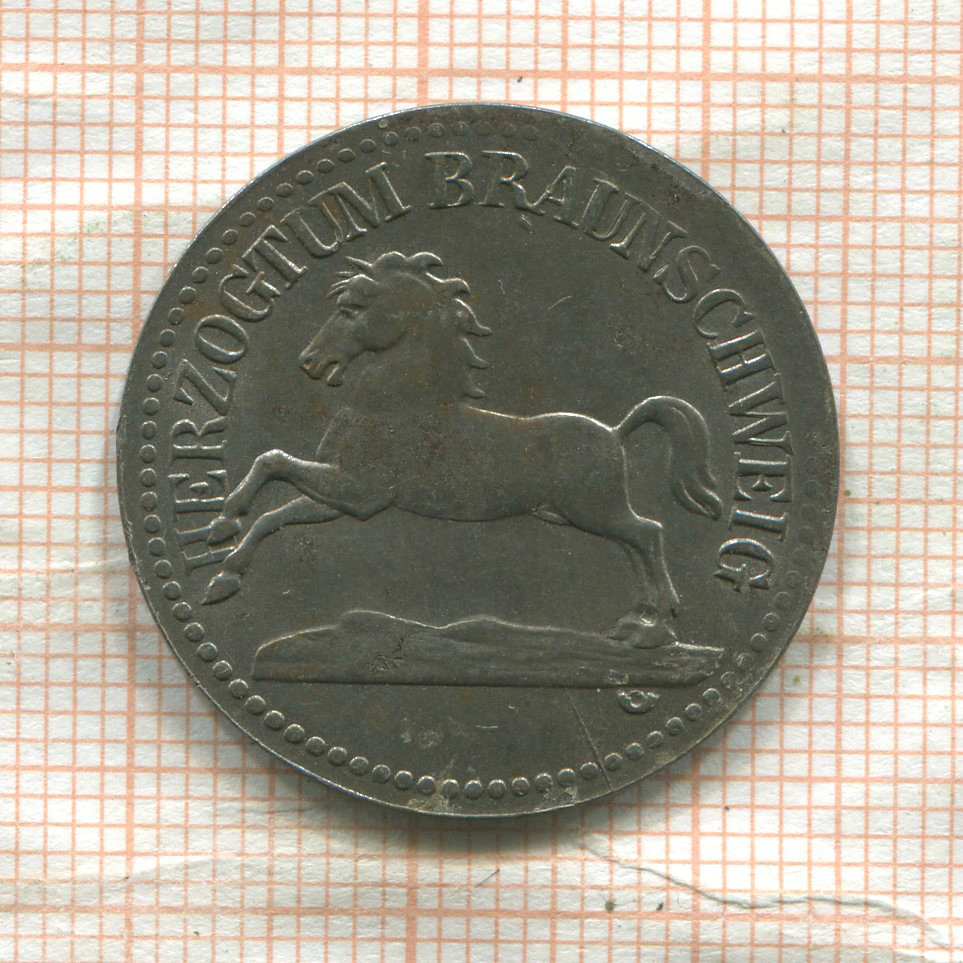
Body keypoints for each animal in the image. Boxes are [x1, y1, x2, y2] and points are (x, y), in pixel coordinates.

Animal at [201, 250, 722, 648]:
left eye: (352, 309)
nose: (310, 361)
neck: (397, 404)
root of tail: (615, 431)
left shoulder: (360, 491)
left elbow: (272, 461)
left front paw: (225, 519)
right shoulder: (343, 496)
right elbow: (276, 512)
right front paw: (225, 572)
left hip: (594, 508)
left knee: (648, 533)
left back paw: (656, 626)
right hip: (579, 513)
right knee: (634, 543)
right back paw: (636, 622)